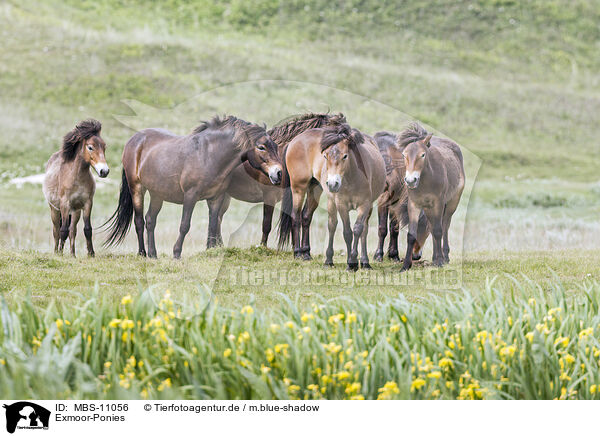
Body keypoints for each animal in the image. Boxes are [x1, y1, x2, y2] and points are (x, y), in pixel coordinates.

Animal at [42, 117, 109, 258]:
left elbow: (87, 229)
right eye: (90, 147)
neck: (77, 178)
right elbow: (63, 231)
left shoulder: (87, 203)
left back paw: (73, 254)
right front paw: (60, 253)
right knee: (56, 231)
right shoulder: (65, 204)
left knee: (72, 231)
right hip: (54, 210)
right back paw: (56, 251)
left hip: (75, 212)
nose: (104, 171)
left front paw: (91, 253)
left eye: (104, 147)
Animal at [104, 116, 282, 258]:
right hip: (137, 188)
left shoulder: (216, 198)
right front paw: (176, 253)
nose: (279, 173)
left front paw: (210, 252)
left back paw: (153, 254)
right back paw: (142, 253)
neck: (209, 156)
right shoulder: (190, 196)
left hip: (157, 194)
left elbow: (213, 225)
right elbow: (185, 225)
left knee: (150, 220)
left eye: (275, 145)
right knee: (139, 221)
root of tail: (135, 139)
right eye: (261, 147)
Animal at [276, 122, 384, 270]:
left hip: (315, 189)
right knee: (296, 216)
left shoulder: (365, 205)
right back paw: (298, 253)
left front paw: (361, 262)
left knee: (306, 216)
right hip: (299, 188)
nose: (333, 183)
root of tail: (294, 140)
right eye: (325, 156)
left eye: (345, 156)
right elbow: (347, 232)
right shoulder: (341, 204)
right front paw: (351, 263)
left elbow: (359, 230)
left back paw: (306, 254)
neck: (353, 178)